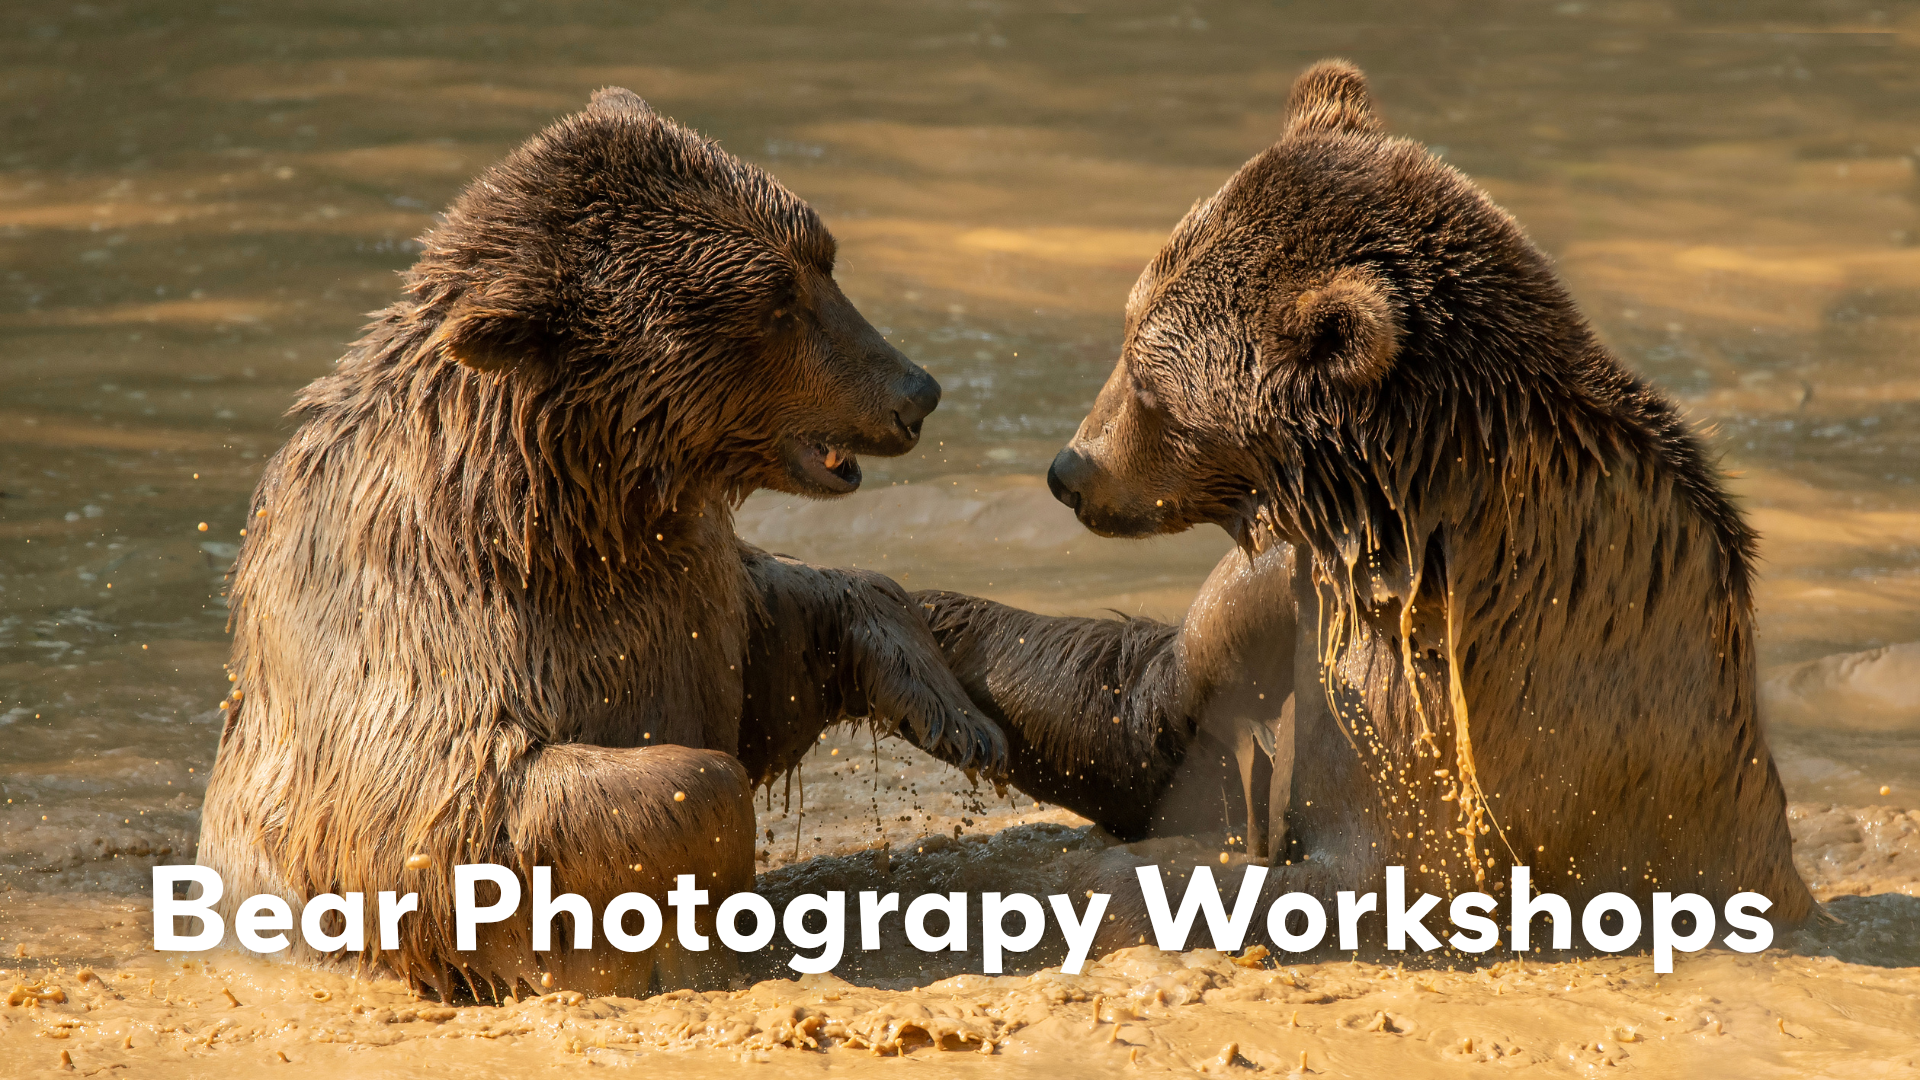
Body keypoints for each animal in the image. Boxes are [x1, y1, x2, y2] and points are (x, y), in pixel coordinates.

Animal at [195, 87, 1007, 1000]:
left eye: (822, 263)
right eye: (775, 303)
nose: (916, 391)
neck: (568, 502)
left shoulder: (683, 581)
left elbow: (784, 629)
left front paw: (958, 717)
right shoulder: (428, 628)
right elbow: (461, 817)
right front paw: (692, 938)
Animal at [916, 59, 1815, 957]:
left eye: (1149, 386)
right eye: (1128, 328)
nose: (1071, 470)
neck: (1382, 513)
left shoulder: (1472, 694)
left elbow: (1382, 875)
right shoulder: (1298, 589)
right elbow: (1145, 723)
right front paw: (911, 622)